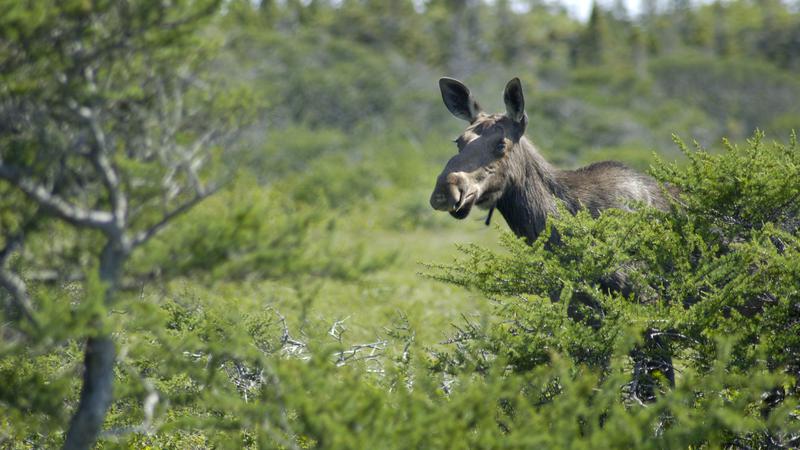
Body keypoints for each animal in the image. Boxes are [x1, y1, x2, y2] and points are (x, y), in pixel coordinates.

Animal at [432, 77, 676, 400]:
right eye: (459, 141)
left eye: (501, 144)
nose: (445, 190)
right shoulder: (577, 310)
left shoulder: (648, 302)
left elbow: (660, 384)